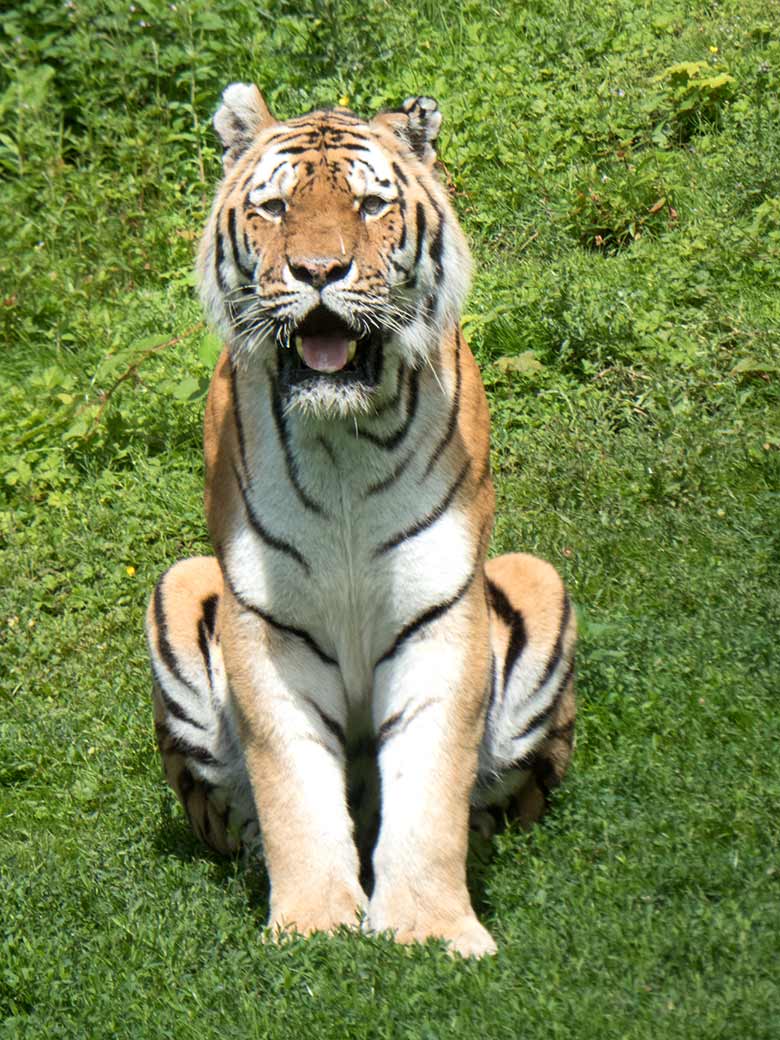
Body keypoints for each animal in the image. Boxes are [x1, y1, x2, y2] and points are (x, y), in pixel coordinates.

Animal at [146, 83, 578, 956]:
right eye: (275, 207)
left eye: (371, 205)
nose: (318, 272)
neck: (341, 435)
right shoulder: (264, 622)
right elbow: (290, 786)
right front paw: (313, 924)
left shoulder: (439, 608)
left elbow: (431, 787)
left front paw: (429, 929)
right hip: (177, 590)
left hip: (537, 582)